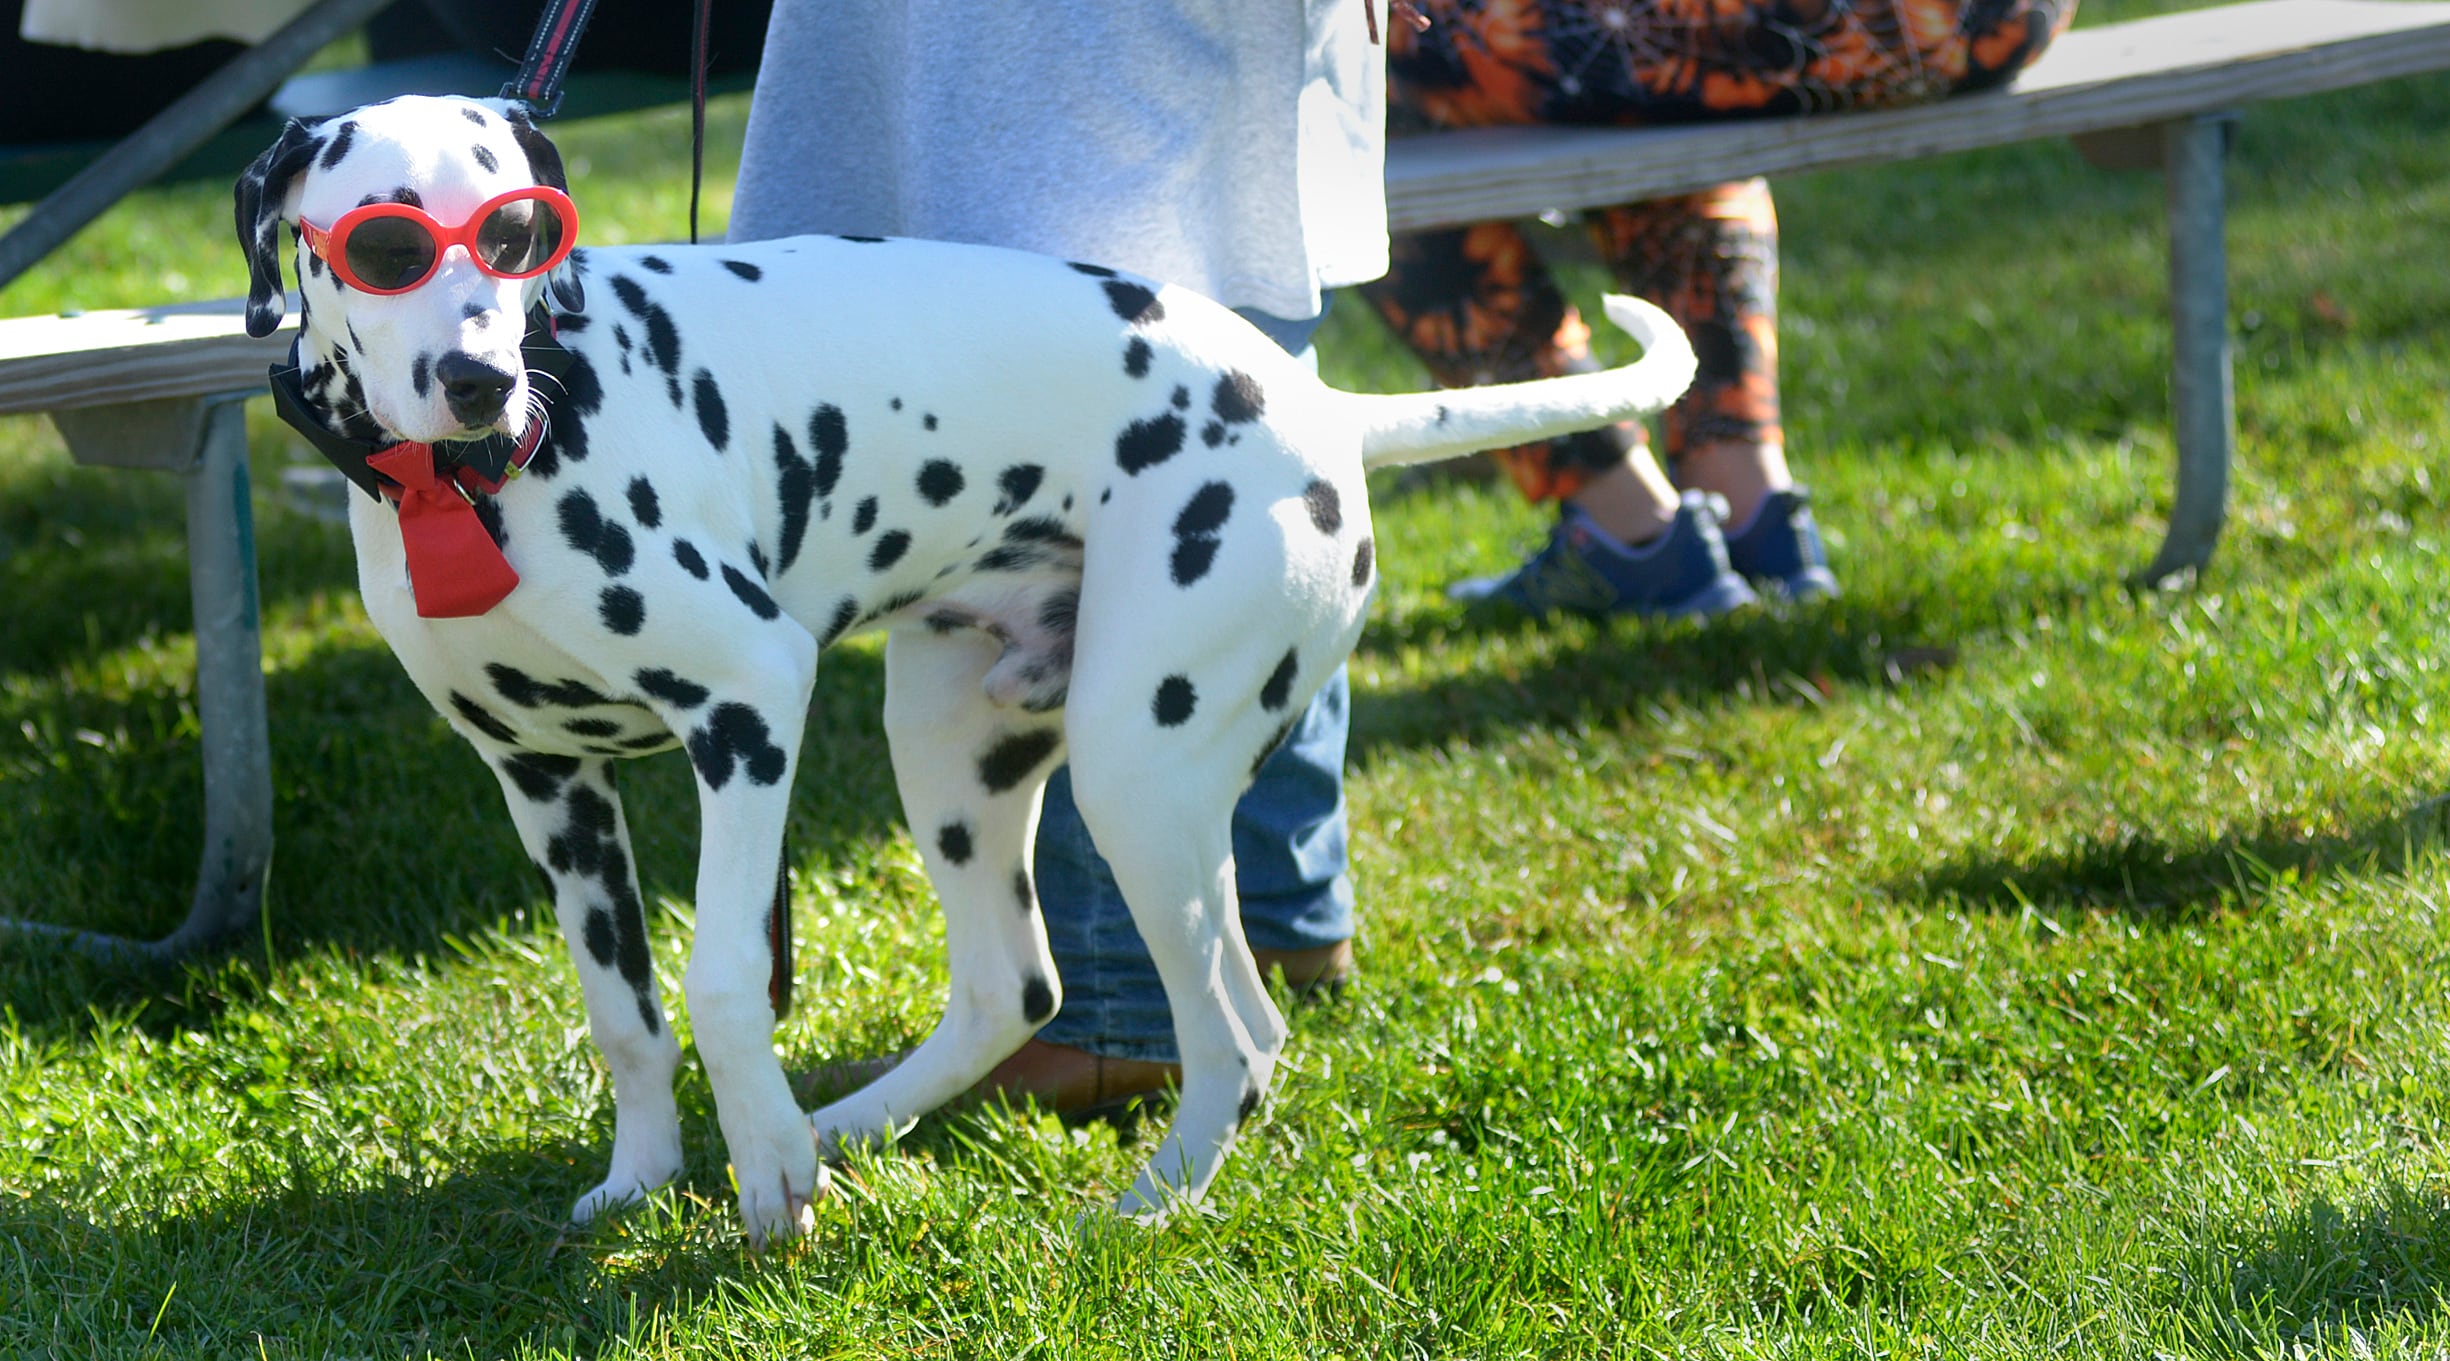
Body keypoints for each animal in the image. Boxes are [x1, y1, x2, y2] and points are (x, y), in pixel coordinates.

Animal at [233, 93, 1705, 1243]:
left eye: (517, 230)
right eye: (383, 242)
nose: (479, 378)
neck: (474, 480)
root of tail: (1317, 400)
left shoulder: (747, 709)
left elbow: (719, 982)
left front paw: (764, 1164)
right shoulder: (547, 785)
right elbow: (623, 1012)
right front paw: (643, 1176)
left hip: (1135, 773)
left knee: (1227, 1034)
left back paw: (1144, 1206)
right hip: (961, 754)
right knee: (1038, 989)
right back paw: (863, 1122)